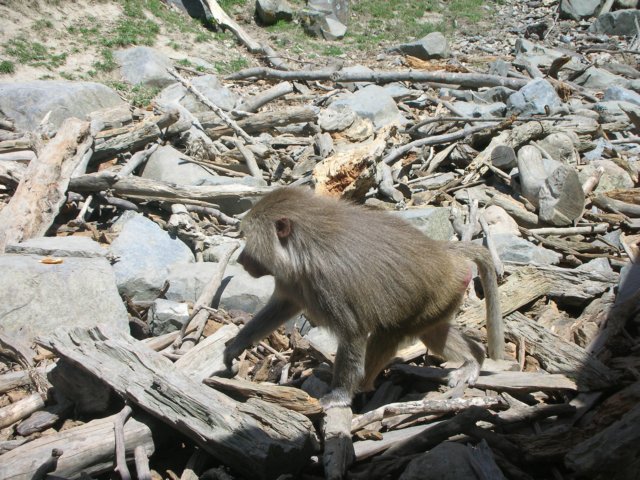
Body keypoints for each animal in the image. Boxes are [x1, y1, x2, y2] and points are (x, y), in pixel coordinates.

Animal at [222, 186, 502, 406]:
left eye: (249, 241)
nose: (241, 260)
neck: (304, 247)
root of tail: (446, 253)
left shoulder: (331, 284)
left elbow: (353, 333)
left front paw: (339, 396)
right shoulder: (293, 281)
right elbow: (280, 309)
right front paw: (235, 346)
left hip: (441, 293)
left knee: (388, 334)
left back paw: (363, 387)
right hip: (442, 301)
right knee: (432, 334)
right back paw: (475, 358)